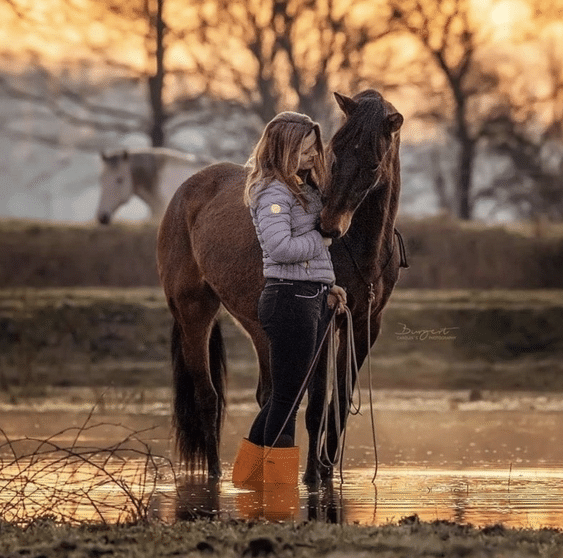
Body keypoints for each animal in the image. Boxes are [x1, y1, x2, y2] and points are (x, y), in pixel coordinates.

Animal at [156, 91, 408, 486]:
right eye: (334, 153)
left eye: (372, 164)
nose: (328, 226)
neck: (360, 248)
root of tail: (187, 190)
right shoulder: (324, 320)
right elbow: (317, 402)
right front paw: (314, 478)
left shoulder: (365, 324)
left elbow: (339, 399)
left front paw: (328, 471)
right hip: (194, 312)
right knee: (208, 398)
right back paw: (215, 474)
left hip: (258, 326)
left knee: (268, 394)